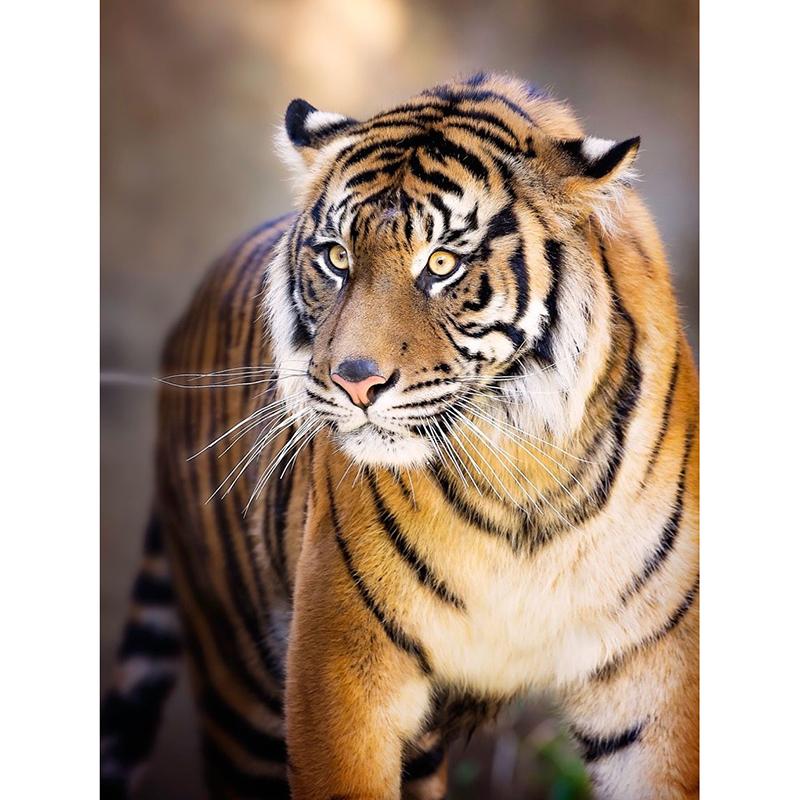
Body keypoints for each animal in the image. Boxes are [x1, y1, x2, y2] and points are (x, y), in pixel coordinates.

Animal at [101, 72, 699, 800]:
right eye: (336, 257)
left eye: (440, 263)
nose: (354, 381)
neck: (525, 476)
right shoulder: (341, 671)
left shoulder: (656, 675)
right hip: (236, 683)